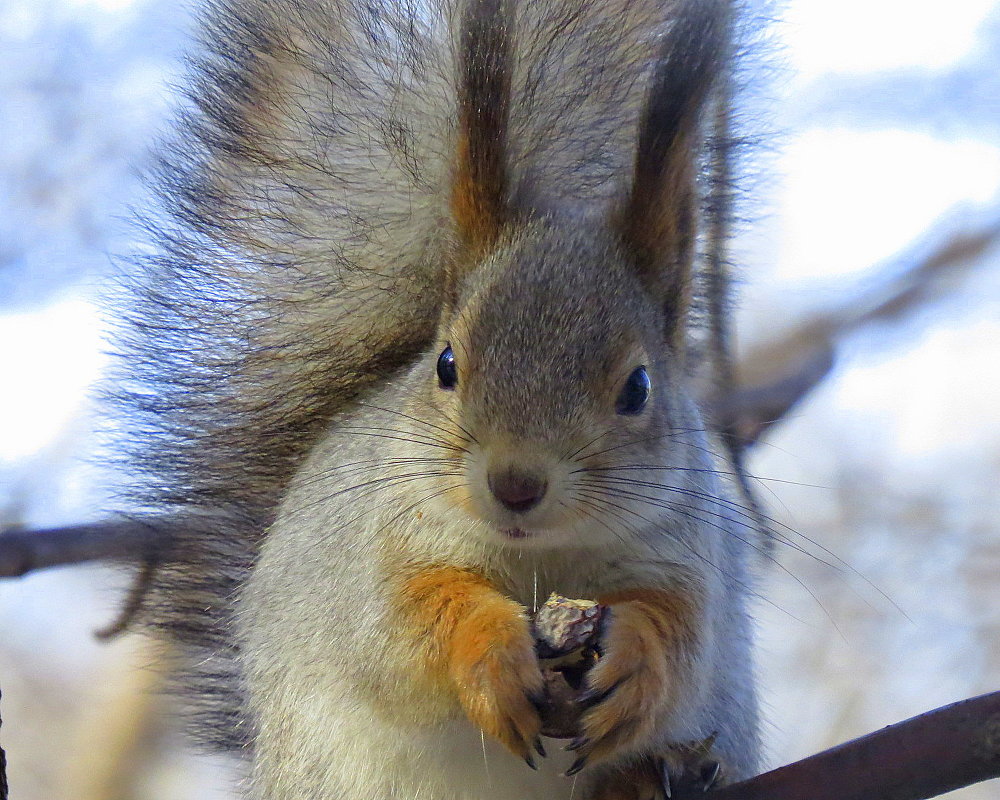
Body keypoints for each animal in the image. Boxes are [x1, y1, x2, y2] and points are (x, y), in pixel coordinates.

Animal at [109, 0, 760, 792]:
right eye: (447, 363)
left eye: (638, 387)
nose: (516, 483)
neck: (541, 559)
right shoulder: (378, 554)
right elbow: (407, 630)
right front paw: (489, 656)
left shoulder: (689, 557)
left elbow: (680, 635)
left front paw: (637, 663)